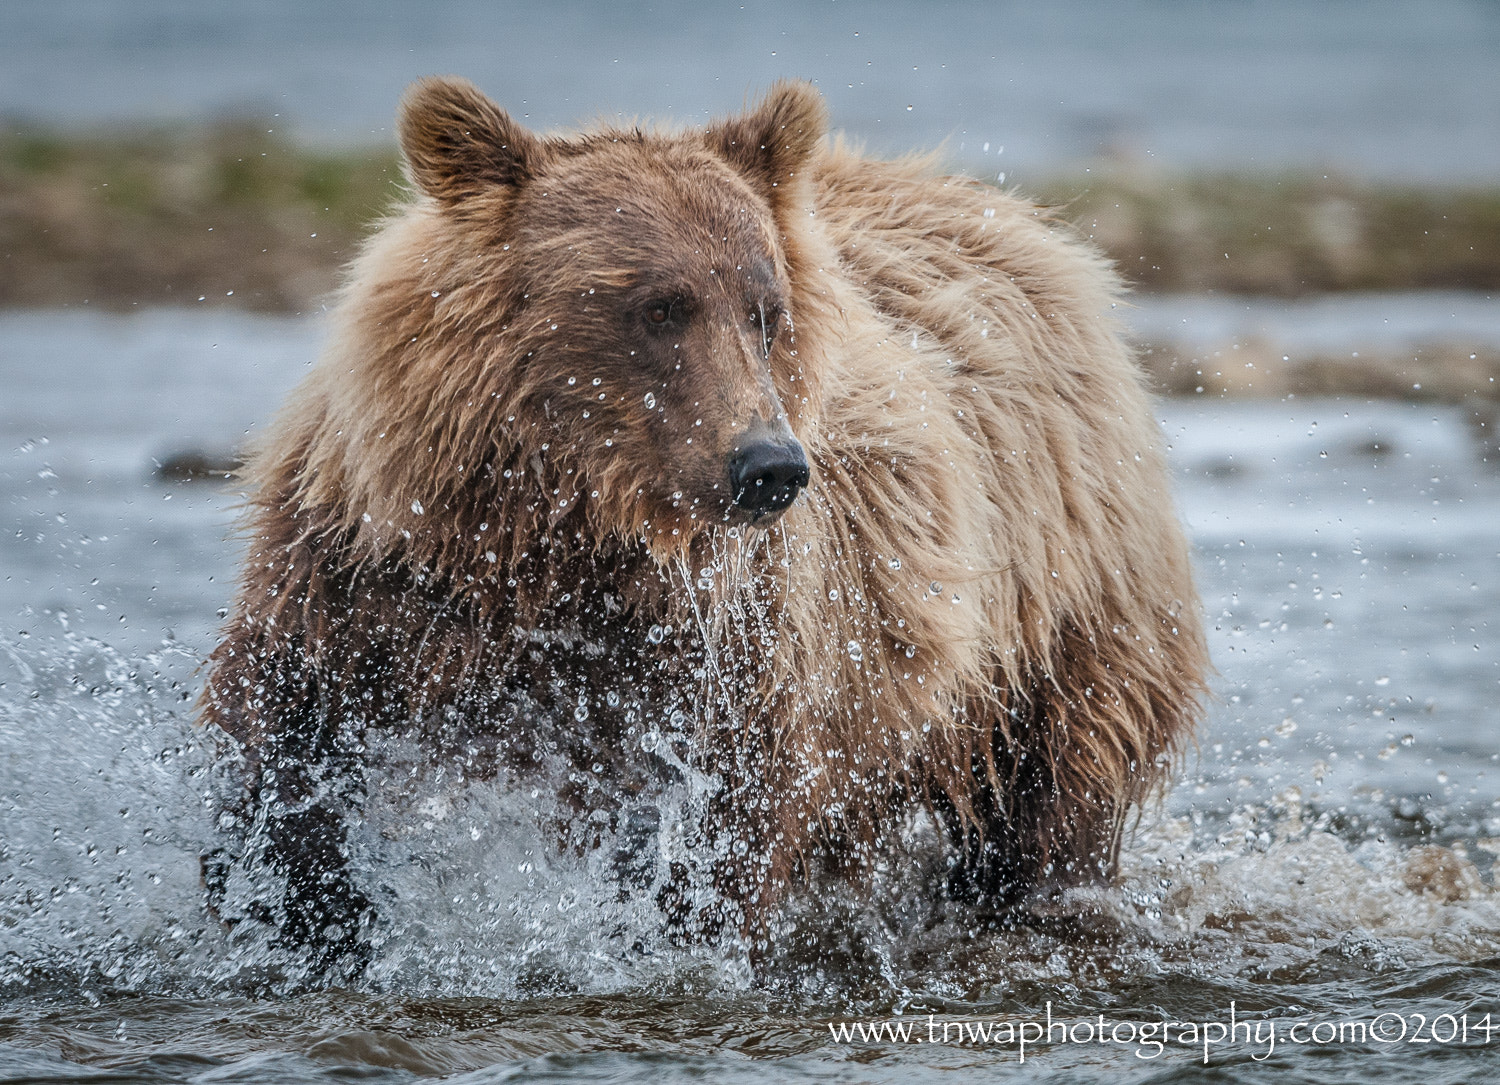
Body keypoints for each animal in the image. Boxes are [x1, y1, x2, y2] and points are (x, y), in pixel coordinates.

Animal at [202, 76, 1206, 978]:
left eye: (764, 310)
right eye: (659, 305)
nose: (769, 466)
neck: (554, 537)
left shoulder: (723, 645)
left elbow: (724, 819)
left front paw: (664, 940)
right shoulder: (372, 578)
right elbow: (279, 742)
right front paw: (303, 918)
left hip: (1057, 616)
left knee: (1046, 799)